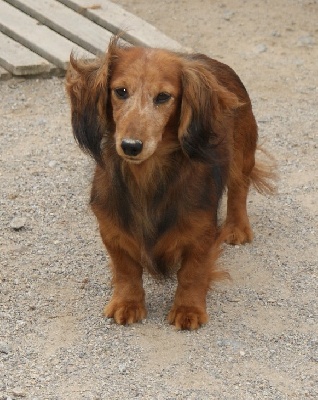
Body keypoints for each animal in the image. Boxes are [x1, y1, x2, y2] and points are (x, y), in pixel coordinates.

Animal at [66, 37, 274, 330]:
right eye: (120, 91)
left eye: (163, 97)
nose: (131, 146)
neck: (147, 177)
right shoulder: (112, 229)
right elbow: (126, 270)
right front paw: (127, 303)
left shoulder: (201, 232)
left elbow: (192, 273)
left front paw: (188, 309)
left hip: (241, 155)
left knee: (239, 188)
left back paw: (237, 227)